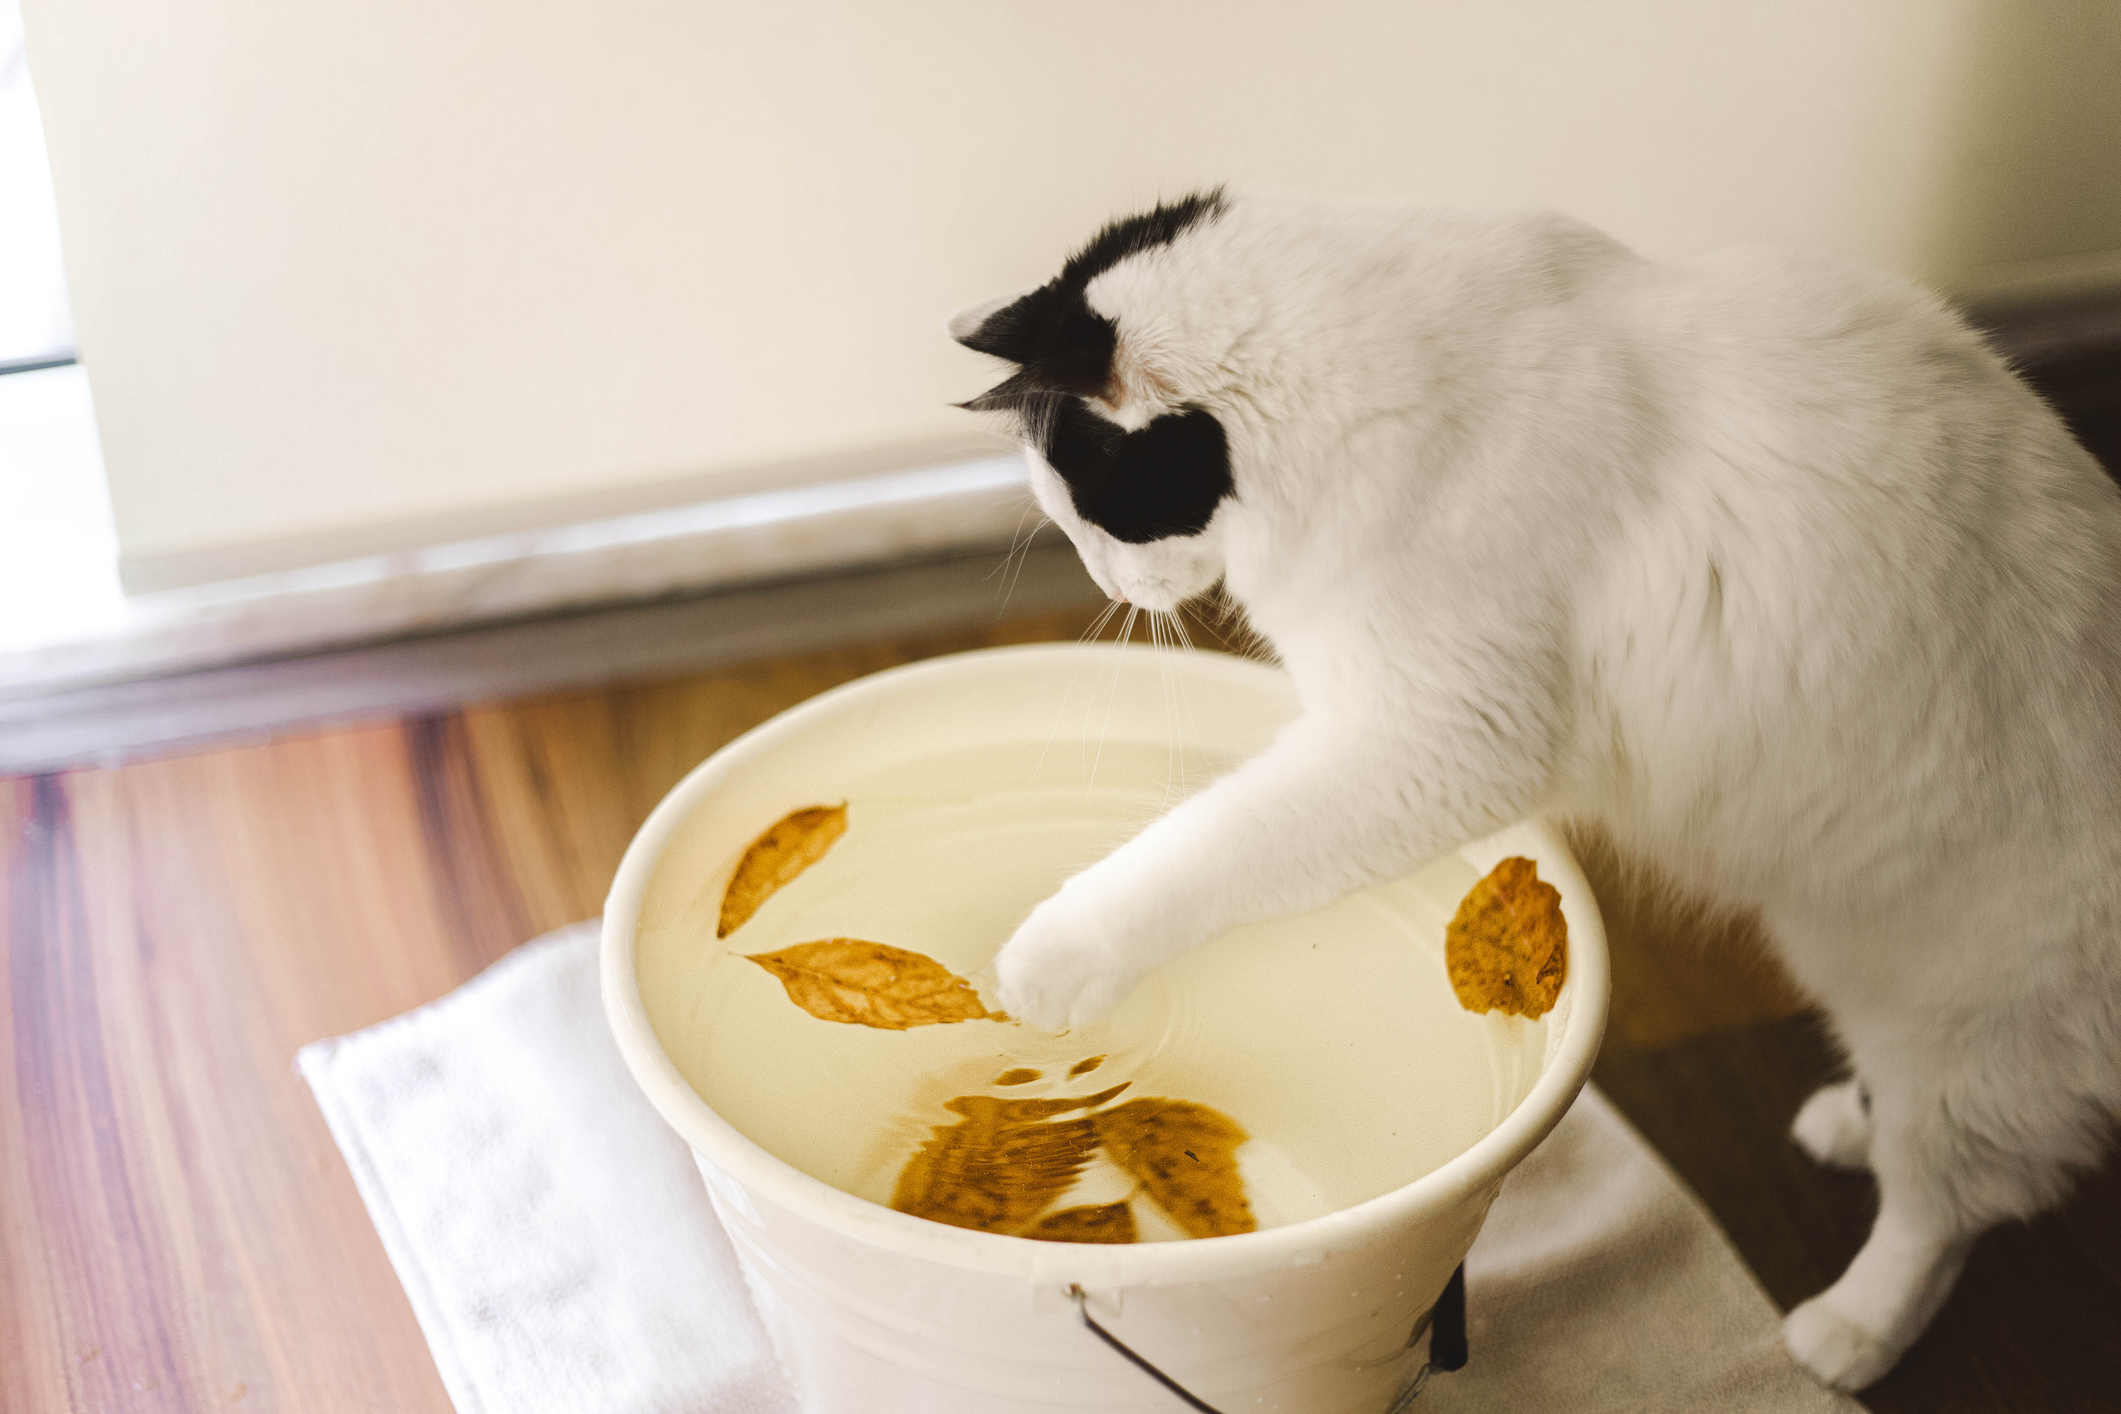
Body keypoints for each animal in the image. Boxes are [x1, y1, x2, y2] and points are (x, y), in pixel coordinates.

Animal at [954, 187, 2121, 1390]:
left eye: (1100, 514)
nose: (1105, 583)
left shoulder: (1439, 739)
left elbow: (1193, 852)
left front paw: (1043, 964)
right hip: (1864, 965)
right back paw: (1848, 1123)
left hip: (1971, 1027)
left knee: (1948, 1207)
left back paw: (1847, 1330)